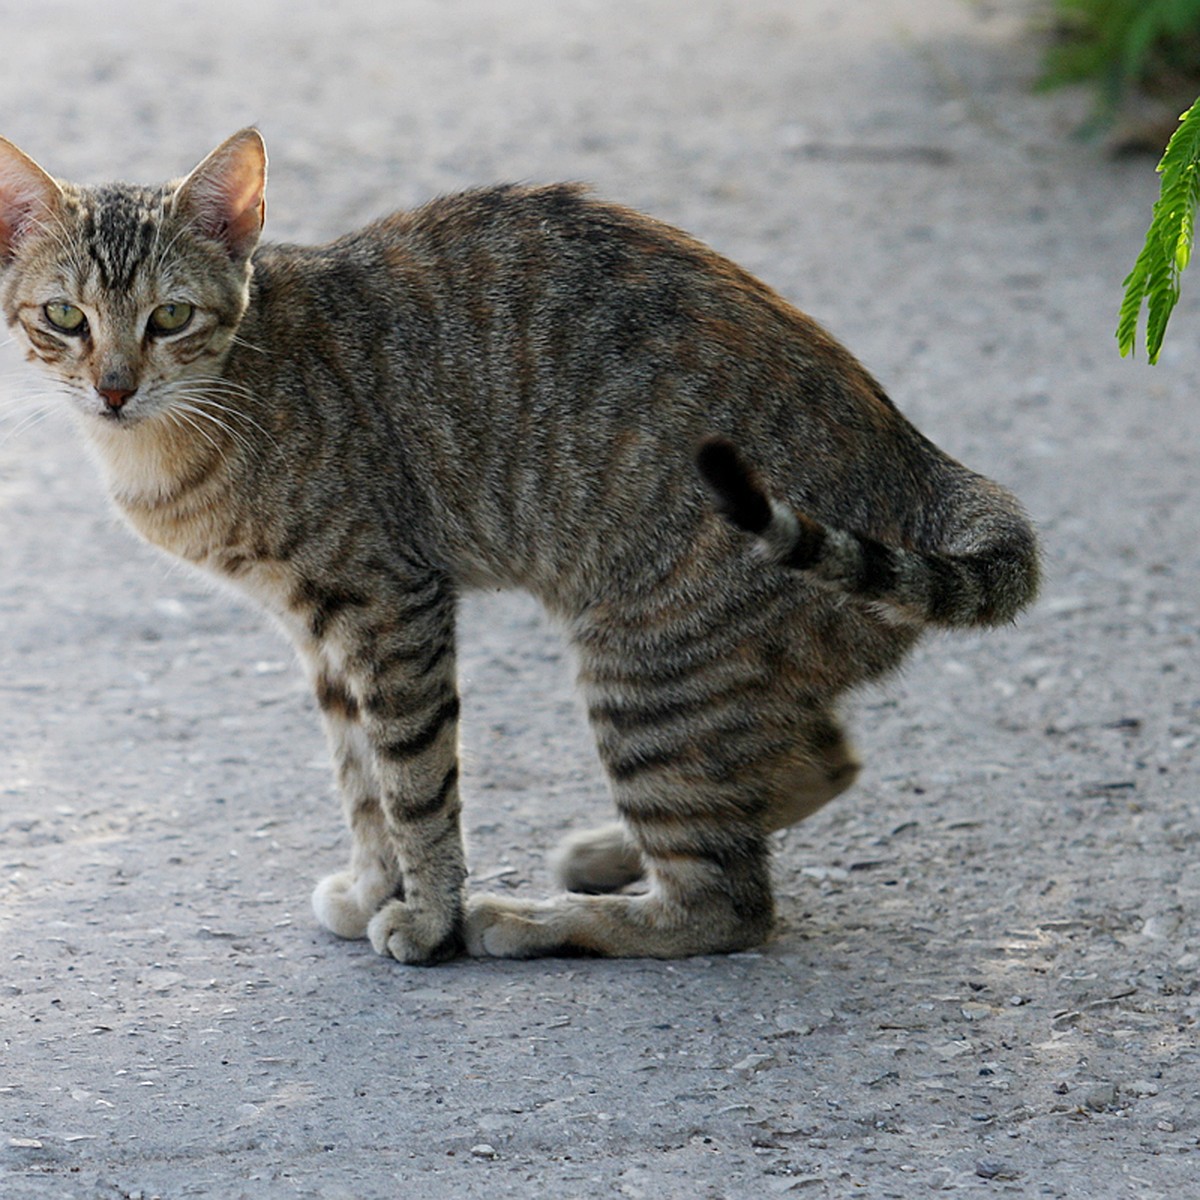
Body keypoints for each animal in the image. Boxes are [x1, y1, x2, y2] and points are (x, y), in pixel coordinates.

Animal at [0, 126, 1032, 960]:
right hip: (723, 672)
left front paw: (429, 916)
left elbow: (412, 779)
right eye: (65, 318)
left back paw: (533, 919)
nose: (115, 388)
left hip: (643, 664)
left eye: (170, 316)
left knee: (726, 909)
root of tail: (923, 469)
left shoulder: (388, 604)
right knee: (819, 761)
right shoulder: (320, 628)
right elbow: (358, 776)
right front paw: (377, 883)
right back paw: (613, 854)